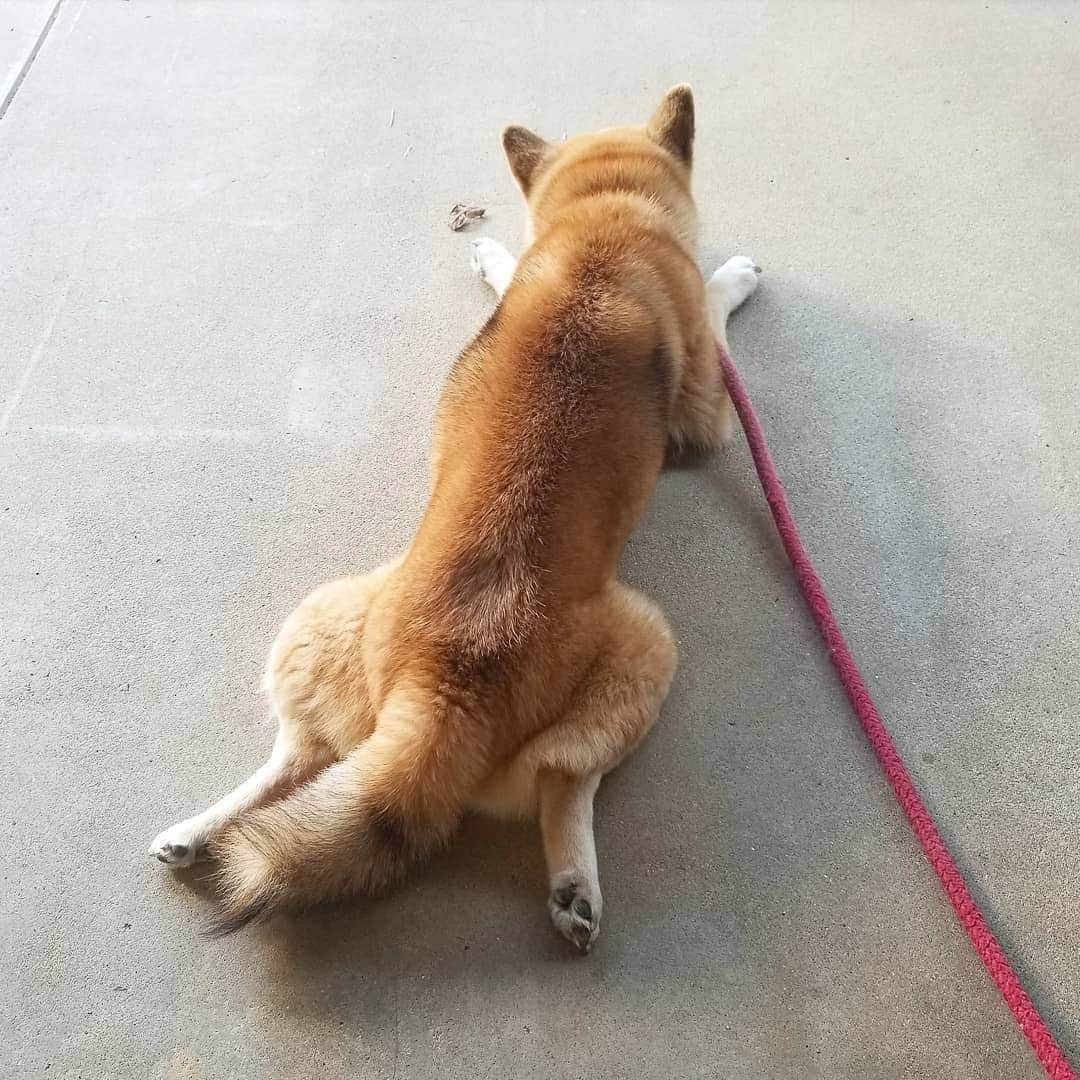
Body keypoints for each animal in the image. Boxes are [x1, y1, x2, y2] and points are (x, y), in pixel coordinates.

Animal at [150, 86, 760, 954]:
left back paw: (198, 830)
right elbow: (710, 299)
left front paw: (496, 257)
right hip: (652, 643)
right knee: (567, 782)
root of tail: (442, 687)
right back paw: (575, 885)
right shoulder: (707, 409)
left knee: (304, 758)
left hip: (319, 620)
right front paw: (732, 274)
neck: (602, 223)